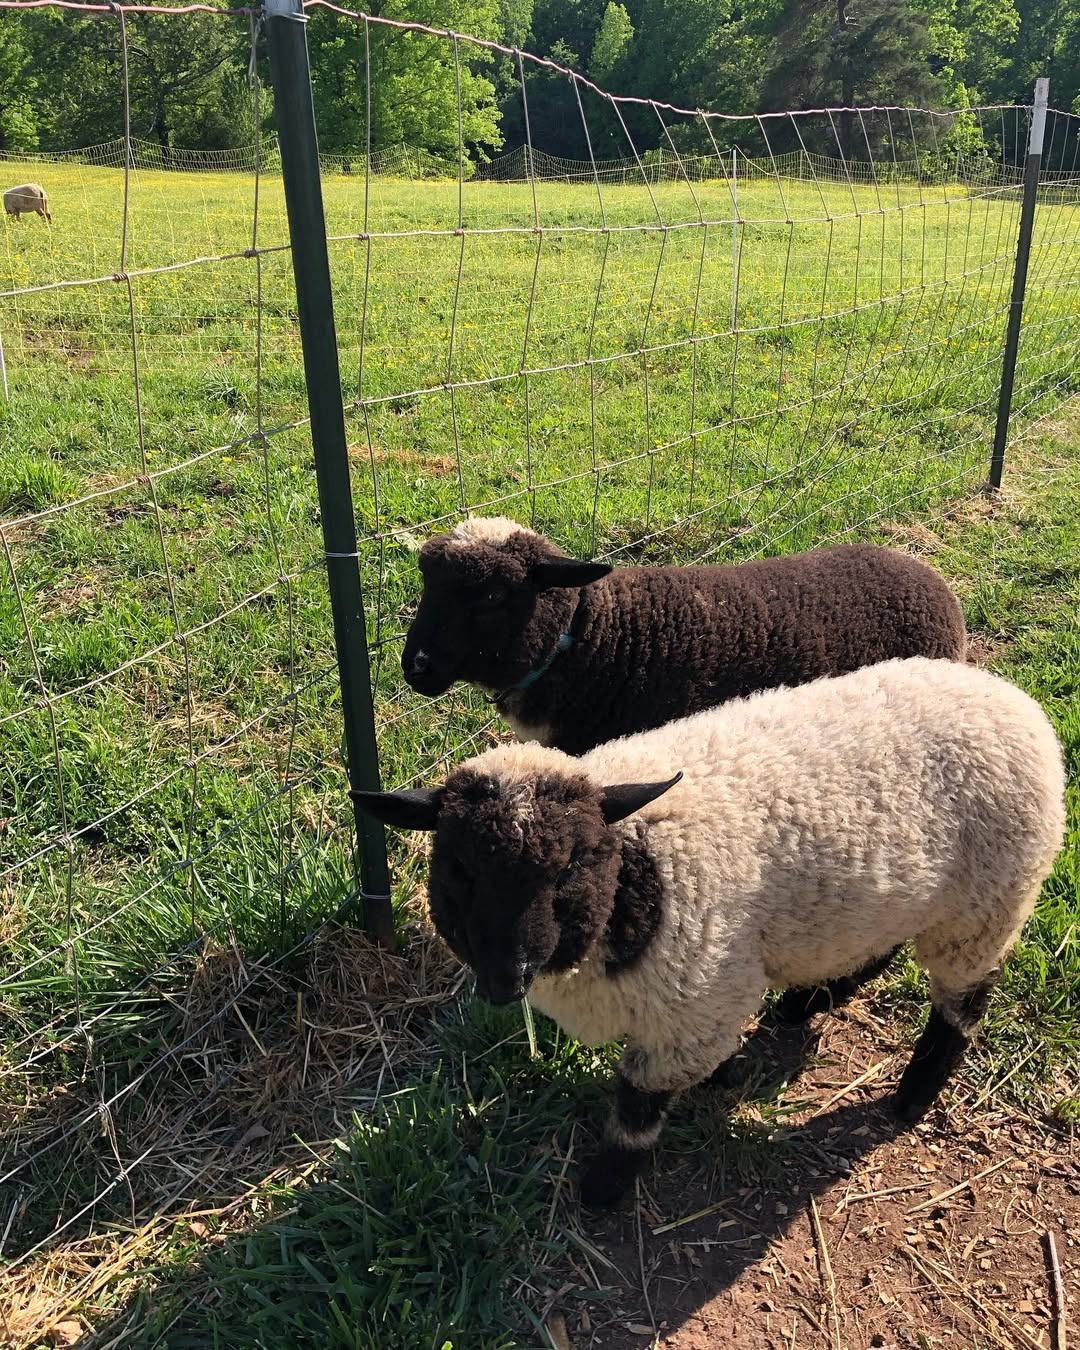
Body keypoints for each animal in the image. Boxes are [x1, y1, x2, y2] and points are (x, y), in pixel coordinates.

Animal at [354, 656, 1065, 1209]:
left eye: (573, 864)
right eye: (459, 868)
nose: (506, 978)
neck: (638, 871)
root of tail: (1009, 698)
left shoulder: (695, 1006)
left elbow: (638, 1108)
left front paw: (606, 1187)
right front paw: (727, 1076)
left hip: (986, 902)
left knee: (964, 1003)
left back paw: (913, 1097)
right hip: (902, 894)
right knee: (878, 944)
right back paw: (813, 1001)